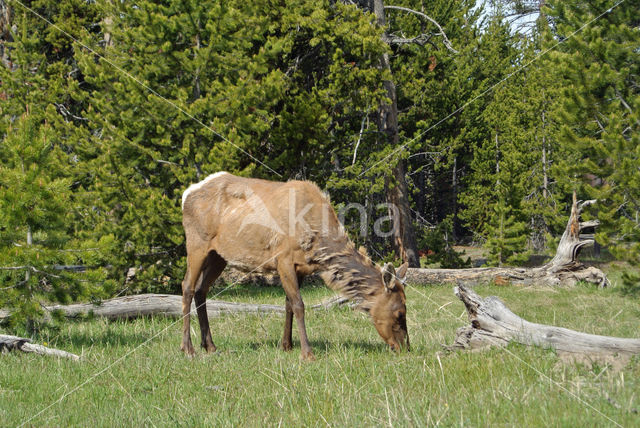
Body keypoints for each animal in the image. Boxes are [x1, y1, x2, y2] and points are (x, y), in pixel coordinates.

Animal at [180, 172, 410, 360]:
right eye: (400, 313)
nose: (405, 348)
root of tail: (186, 194)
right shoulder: (283, 259)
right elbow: (299, 305)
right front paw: (307, 353)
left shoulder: (301, 268)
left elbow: (288, 304)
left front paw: (287, 345)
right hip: (197, 243)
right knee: (187, 287)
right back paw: (188, 348)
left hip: (218, 256)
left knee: (201, 290)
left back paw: (209, 346)